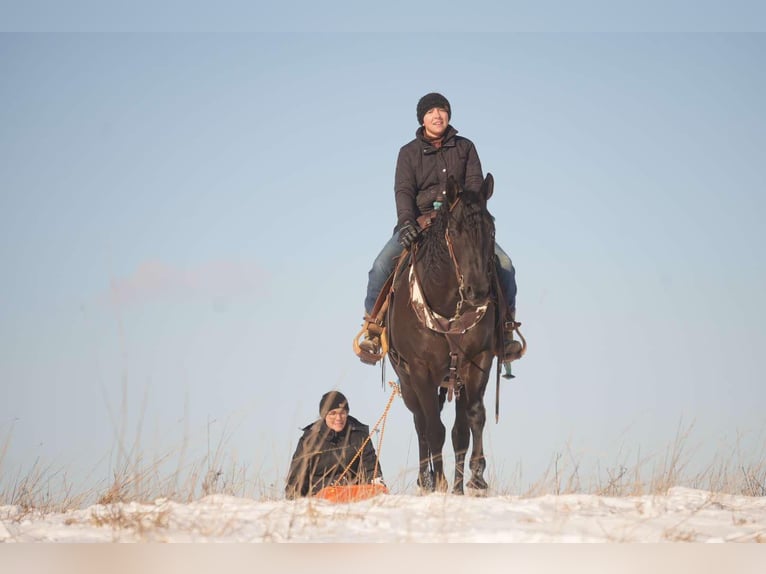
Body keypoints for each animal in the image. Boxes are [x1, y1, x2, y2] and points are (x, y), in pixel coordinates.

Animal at [388, 173, 500, 498]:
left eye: (492, 229)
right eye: (454, 230)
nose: (478, 291)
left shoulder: (477, 361)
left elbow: (470, 421)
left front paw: (474, 480)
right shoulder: (420, 369)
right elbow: (433, 429)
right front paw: (437, 482)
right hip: (408, 381)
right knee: (421, 424)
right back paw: (425, 480)